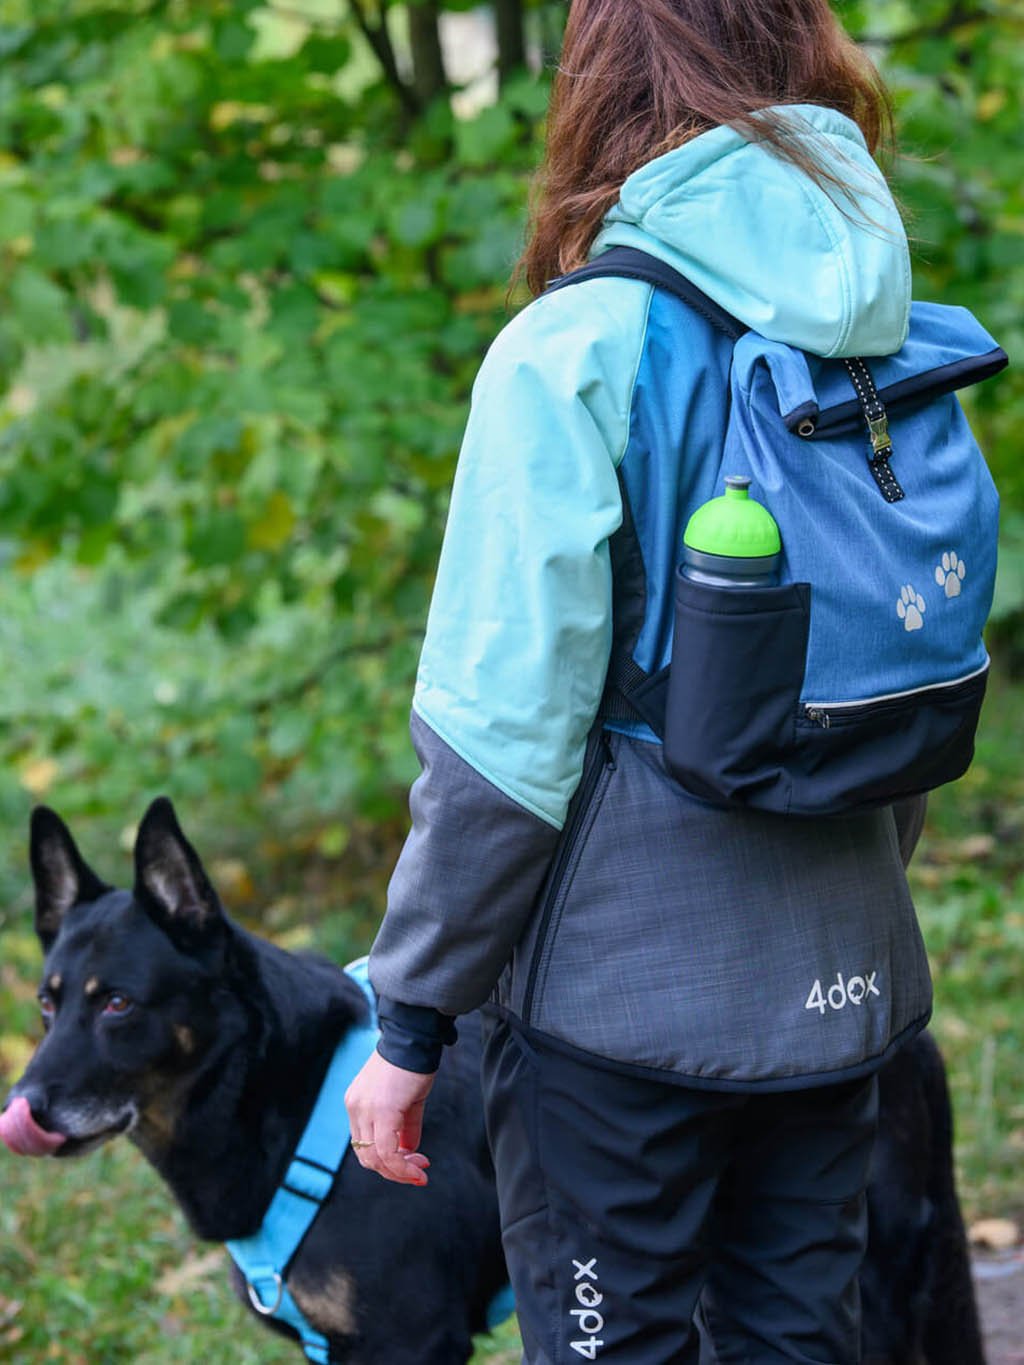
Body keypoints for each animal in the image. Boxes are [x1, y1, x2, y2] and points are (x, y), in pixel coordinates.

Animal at [4, 797, 988, 1365]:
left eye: (119, 1003)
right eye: (49, 1004)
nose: (26, 1111)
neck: (284, 1096)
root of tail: (902, 1032)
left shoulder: (412, 1341)